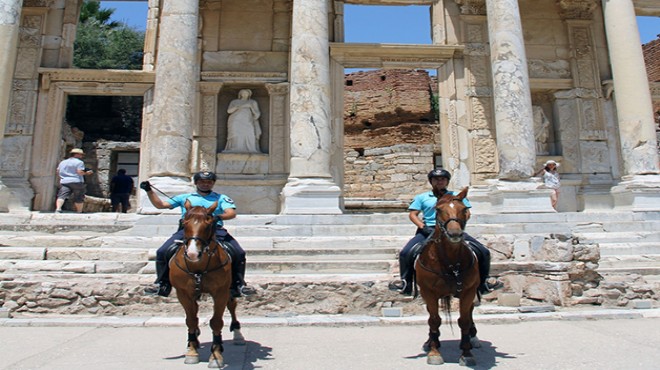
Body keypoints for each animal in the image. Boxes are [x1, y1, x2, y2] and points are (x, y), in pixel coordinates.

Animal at [170, 201, 245, 368]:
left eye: (209, 224)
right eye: (184, 222)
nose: (192, 253)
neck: (199, 267)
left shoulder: (221, 292)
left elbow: (216, 322)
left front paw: (216, 354)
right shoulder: (183, 293)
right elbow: (191, 320)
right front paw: (192, 351)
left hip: (230, 290)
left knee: (232, 306)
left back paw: (238, 335)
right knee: (195, 312)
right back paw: (194, 339)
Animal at [416, 188, 482, 368]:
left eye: (464, 209)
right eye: (437, 209)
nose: (455, 233)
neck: (450, 261)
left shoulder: (468, 291)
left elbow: (464, 320)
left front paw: (466, 353)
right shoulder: (428, 292)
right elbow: (434, 320)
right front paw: (434, 352)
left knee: (470, 313)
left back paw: (473, 338)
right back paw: (431, 341)